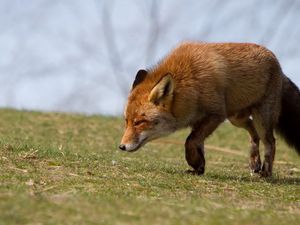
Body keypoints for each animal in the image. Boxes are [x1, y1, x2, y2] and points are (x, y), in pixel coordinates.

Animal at [119, 41, 300, 177]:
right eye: (127, 121)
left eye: (139, 122)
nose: (121, 147)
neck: (191, 81)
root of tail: (277, 63)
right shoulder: (198, 121)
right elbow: (197, 144)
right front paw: (199, 168)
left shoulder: (216, 114)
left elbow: (190, 141)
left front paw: (194, 162)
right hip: (236, 118)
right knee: (253, 132)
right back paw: (254, 161)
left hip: (261, 118)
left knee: (270, 142)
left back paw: (266, 172)